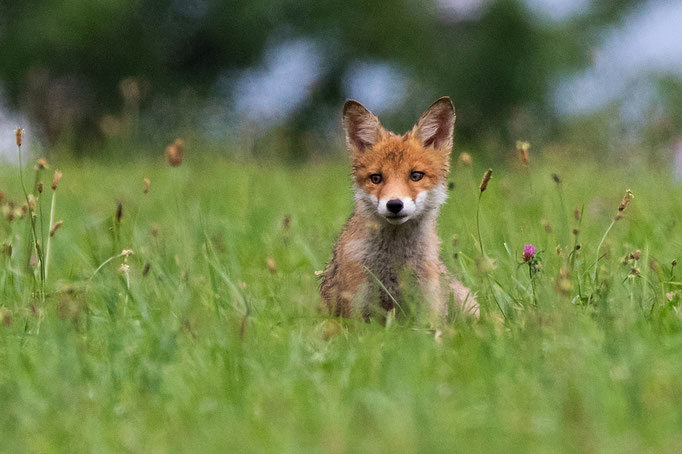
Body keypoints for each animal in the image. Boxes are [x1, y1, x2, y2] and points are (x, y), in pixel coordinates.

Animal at [319, 96, 479, 322]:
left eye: (416, 175)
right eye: (376, 178)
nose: (394, 204)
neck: (394, 263)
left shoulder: (428, 309)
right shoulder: (358, 312)